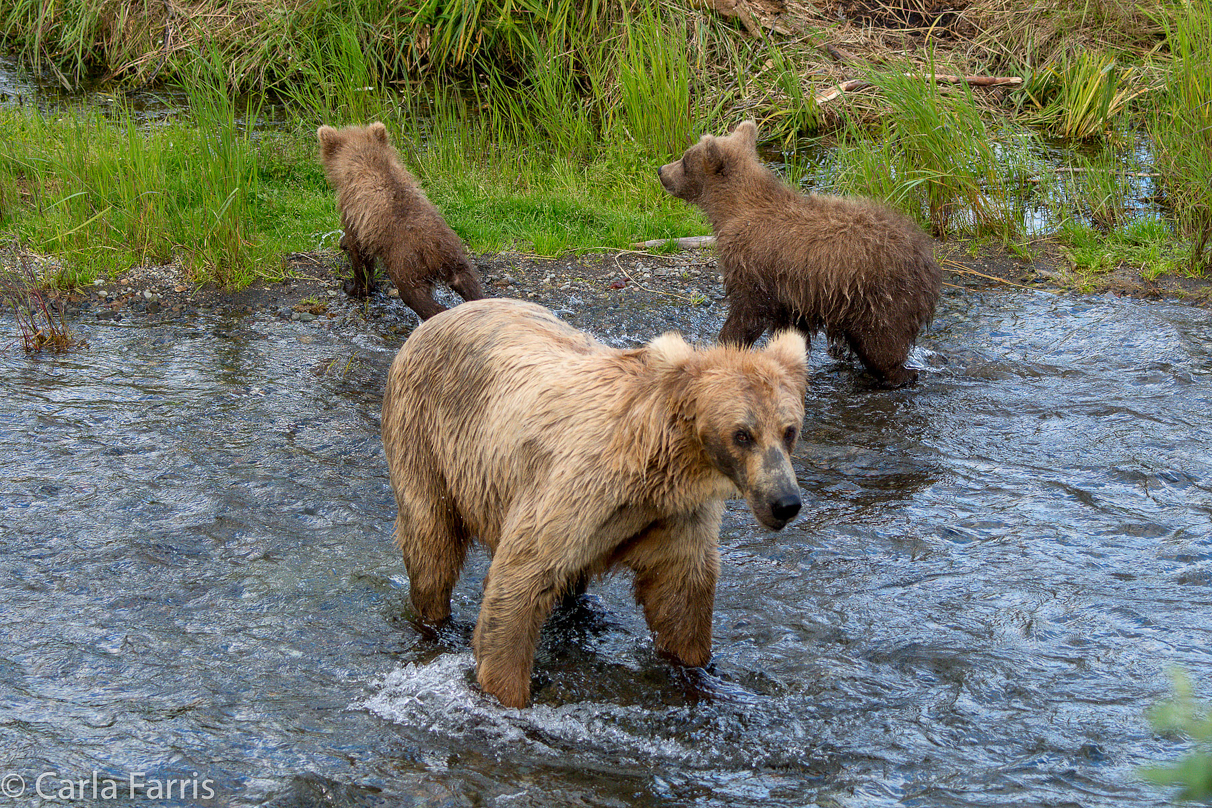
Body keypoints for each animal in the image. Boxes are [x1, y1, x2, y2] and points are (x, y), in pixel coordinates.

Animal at [315, 123, 479, 319]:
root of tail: (431, 249)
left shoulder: (354, 214)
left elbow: (359, 256)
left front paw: (353, 287)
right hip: (453, 254)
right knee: (468, 282)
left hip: (405, 263)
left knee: (413, 296)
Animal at [382, 299, 809, 707]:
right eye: (743, 434)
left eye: (789, 430)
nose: (785, 502)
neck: (656, 466)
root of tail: (439, 318)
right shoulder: (574, 492)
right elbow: (519, 579)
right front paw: (505, 692)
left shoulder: (673, 515)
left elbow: (682, 596)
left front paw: (699, 672)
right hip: (426, 436)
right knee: (431, 544)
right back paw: (432, 623)